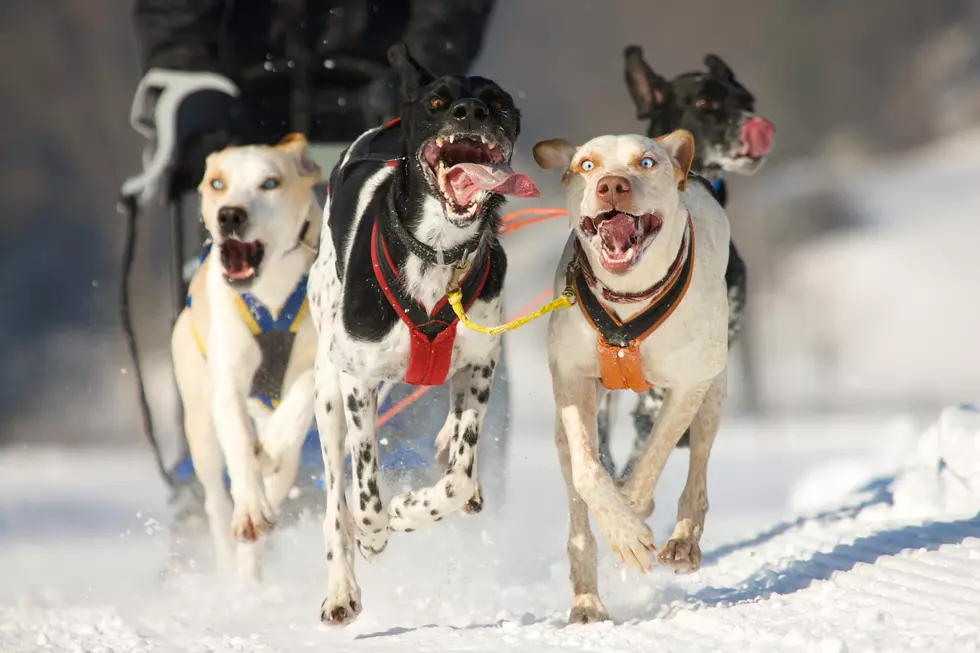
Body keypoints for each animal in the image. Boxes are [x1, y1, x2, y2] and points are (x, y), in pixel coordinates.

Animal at [170, 131, 320, 576]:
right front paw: (251, 509)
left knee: (284, 467)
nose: (230, 216)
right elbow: (238, 445)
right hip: (200, 428)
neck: (270, 295)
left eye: (270, 183)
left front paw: (270, 446)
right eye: (217, 183)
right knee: (217, 501)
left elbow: (301, 397)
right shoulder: (228, 386)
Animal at [306, 43, 536, 624]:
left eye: (498, 102)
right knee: (335, 497)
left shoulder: (481, 363)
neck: (438, 254)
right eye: (438, 101)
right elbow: (365, 485)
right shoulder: (358, 381)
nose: (471, 112)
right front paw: (376, 530)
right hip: (327, 389)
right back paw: (341, 587)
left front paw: (414, 507)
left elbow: (458, 475)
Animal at [532, 130, 732, 624]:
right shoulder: (571, 380)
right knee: (578, 509)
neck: (627, 299)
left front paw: (632, 520)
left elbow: (652, 461)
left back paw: (682, 541)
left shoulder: (688, 386)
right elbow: (589, 474)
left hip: (713, 393)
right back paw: (587, 600)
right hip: (564, 430)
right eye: (586, 164)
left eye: (646, 162)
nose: (612, 186)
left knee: (696, 472)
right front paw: (621, 529)